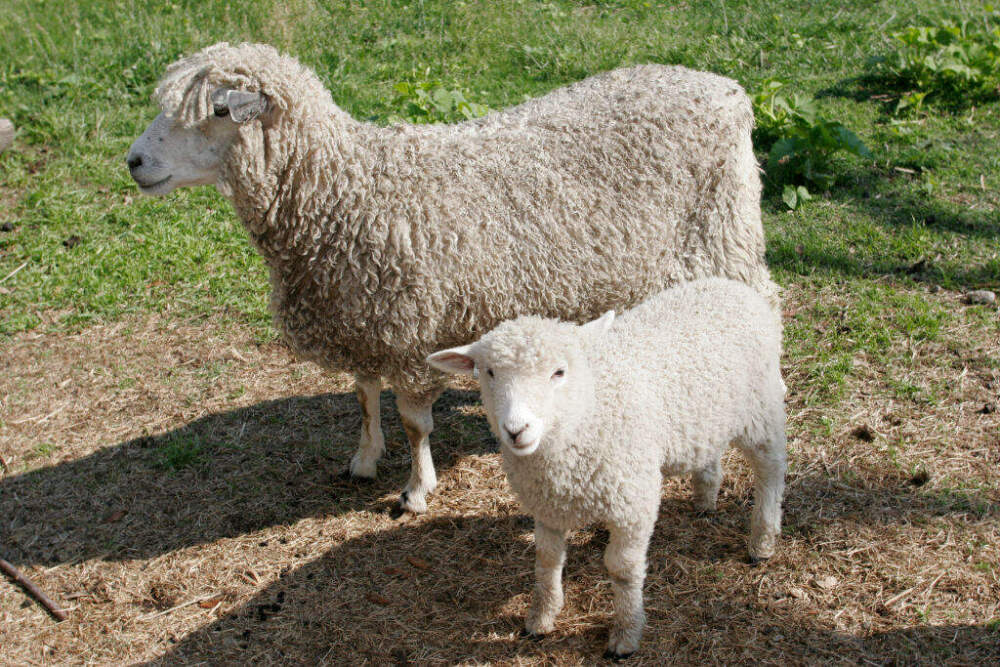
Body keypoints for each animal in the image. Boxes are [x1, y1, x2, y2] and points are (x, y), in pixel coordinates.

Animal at [126, 42, 779, 514]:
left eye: (216, 111)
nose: (133, 161)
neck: (348, 193)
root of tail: (727, 89)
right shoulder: (365, 320)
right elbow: (363, 395)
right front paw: (364, 458)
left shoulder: (413, 331)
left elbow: (415, 424)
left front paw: (416, 489)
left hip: (724, 230)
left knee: (762, 307)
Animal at [427, 278, 787, 659]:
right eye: (490, 372)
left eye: (559, 372)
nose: (516, 429)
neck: (587, 408)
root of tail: (730, 285)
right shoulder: (547, 506)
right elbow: (546, 560)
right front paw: (540, 619)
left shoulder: (634, 503)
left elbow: (623, 569)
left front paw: (626, 634)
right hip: (709, 416)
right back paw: (706, 498)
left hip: (761, 408)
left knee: (771, 470)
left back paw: (762, 541)